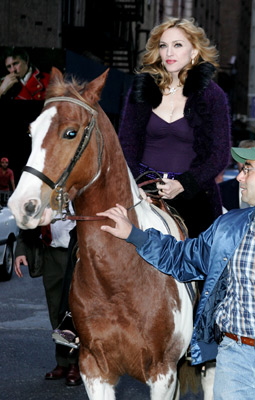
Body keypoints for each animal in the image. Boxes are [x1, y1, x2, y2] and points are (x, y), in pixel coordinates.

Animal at [7, 67, 195, 398]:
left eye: (70, 133)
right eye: (31, 133)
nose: (22, 206)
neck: (121, 277)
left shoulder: (164, 373)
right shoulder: (94, 369)